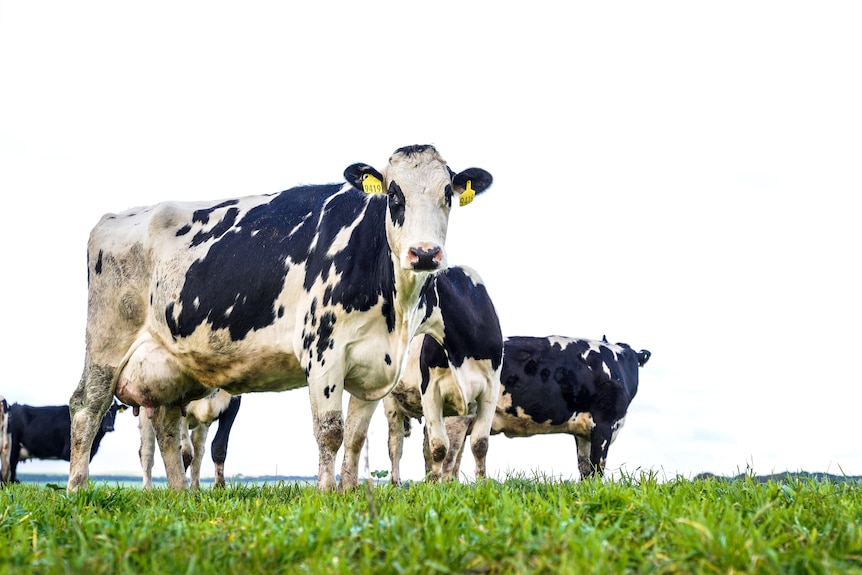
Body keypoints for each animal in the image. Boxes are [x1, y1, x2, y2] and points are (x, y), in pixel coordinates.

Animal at [67, 144, 492, 490]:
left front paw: (349, 492)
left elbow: (356, 437)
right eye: (393, 193)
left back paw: (179, 495)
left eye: (448, 193)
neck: (395, 315)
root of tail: (119, 216)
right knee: (86, 408)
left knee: (168, 427)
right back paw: (77, 491)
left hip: (170, 364)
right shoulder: (322, 351)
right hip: (107, 344)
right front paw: (326, 494)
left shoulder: (373, 366)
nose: (425, 253)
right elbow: (331, 432)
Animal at [386, 266, 506, 486]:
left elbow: (479, 443)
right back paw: (396, 483)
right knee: (395, 444)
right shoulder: (430, 389)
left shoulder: (490, 389)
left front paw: (482, 483)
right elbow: (440, 446)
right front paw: (435, 484)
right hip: (391, 403)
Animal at [388, 336, 652, 484]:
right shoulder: (605, 426)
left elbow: (585, 467)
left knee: (409, 449)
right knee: (446, 455)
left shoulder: (585, 431)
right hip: (455, 414)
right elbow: (598, 466)